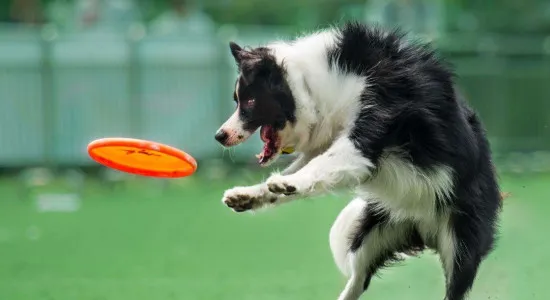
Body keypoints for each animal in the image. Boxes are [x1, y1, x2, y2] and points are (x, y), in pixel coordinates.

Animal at [215, 21, 504, 300]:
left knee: (455, 284)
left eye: (250, 101)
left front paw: (287, 184)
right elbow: (303, 170)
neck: (315, 84)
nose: (219, 136)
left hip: (461, 242)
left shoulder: (370, 129)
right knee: (359, 280)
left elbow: (320, 165)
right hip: (373, 234)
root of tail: (422, 228)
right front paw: (248, 195)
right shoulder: (330, 142)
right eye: (237, 100)